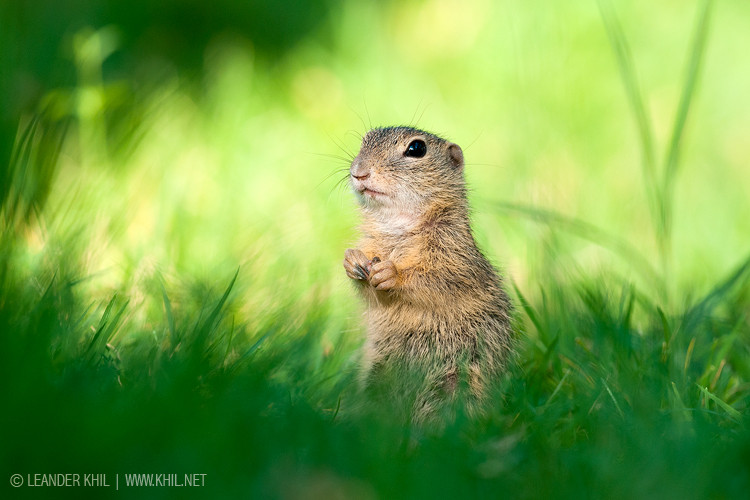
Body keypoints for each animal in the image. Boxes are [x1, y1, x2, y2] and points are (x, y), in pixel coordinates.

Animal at [344, 127, 516, 420]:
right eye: (364, 141)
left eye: (416, 149)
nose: (359, 172)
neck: (399, 224)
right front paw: (352, 260)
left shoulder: (454, 257)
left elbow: (436, 280)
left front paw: (392, 275)